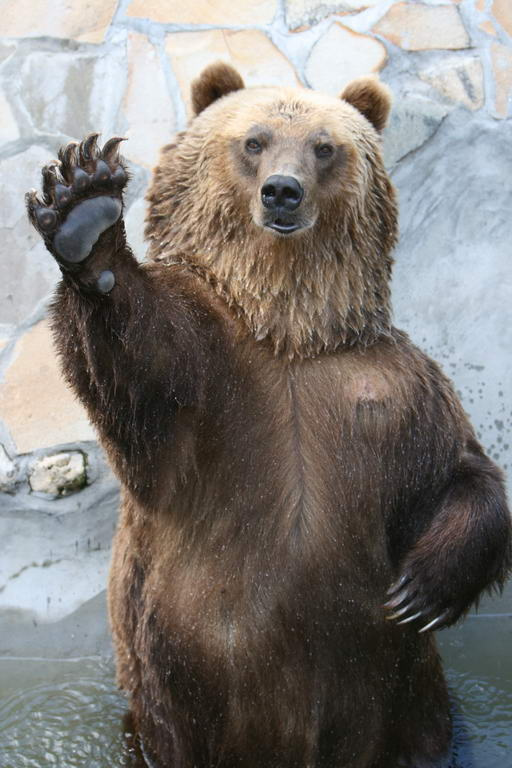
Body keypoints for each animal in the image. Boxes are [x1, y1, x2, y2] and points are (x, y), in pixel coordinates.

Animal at [26, 62, 511, 768]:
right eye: (254, 140)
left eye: (324, 146)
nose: (283, 191)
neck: (289, 332)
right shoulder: (208, 374)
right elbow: (141, 382)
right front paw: (83, 212)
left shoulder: (393, 391)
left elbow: (460, 470)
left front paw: (422, 589)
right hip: (175, 702)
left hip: (409, 700)